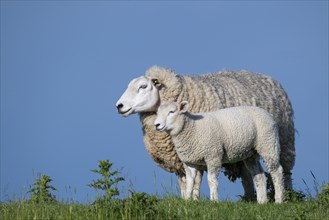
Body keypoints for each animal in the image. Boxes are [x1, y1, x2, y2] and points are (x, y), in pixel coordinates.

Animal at [154, 100, 284, 204]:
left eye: (171, 112)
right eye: (157, 112)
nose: (156, 125)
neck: (192, 128)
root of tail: (267, 113)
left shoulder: (213, 156)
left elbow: (211, 181)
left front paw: (214, 201)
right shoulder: (189, 162)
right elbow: (190, 182)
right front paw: (187, 200)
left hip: (268, 143)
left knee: (276, 171)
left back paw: (279, 200)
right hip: (250, 153)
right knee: (259, 176)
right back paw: (262, 202)